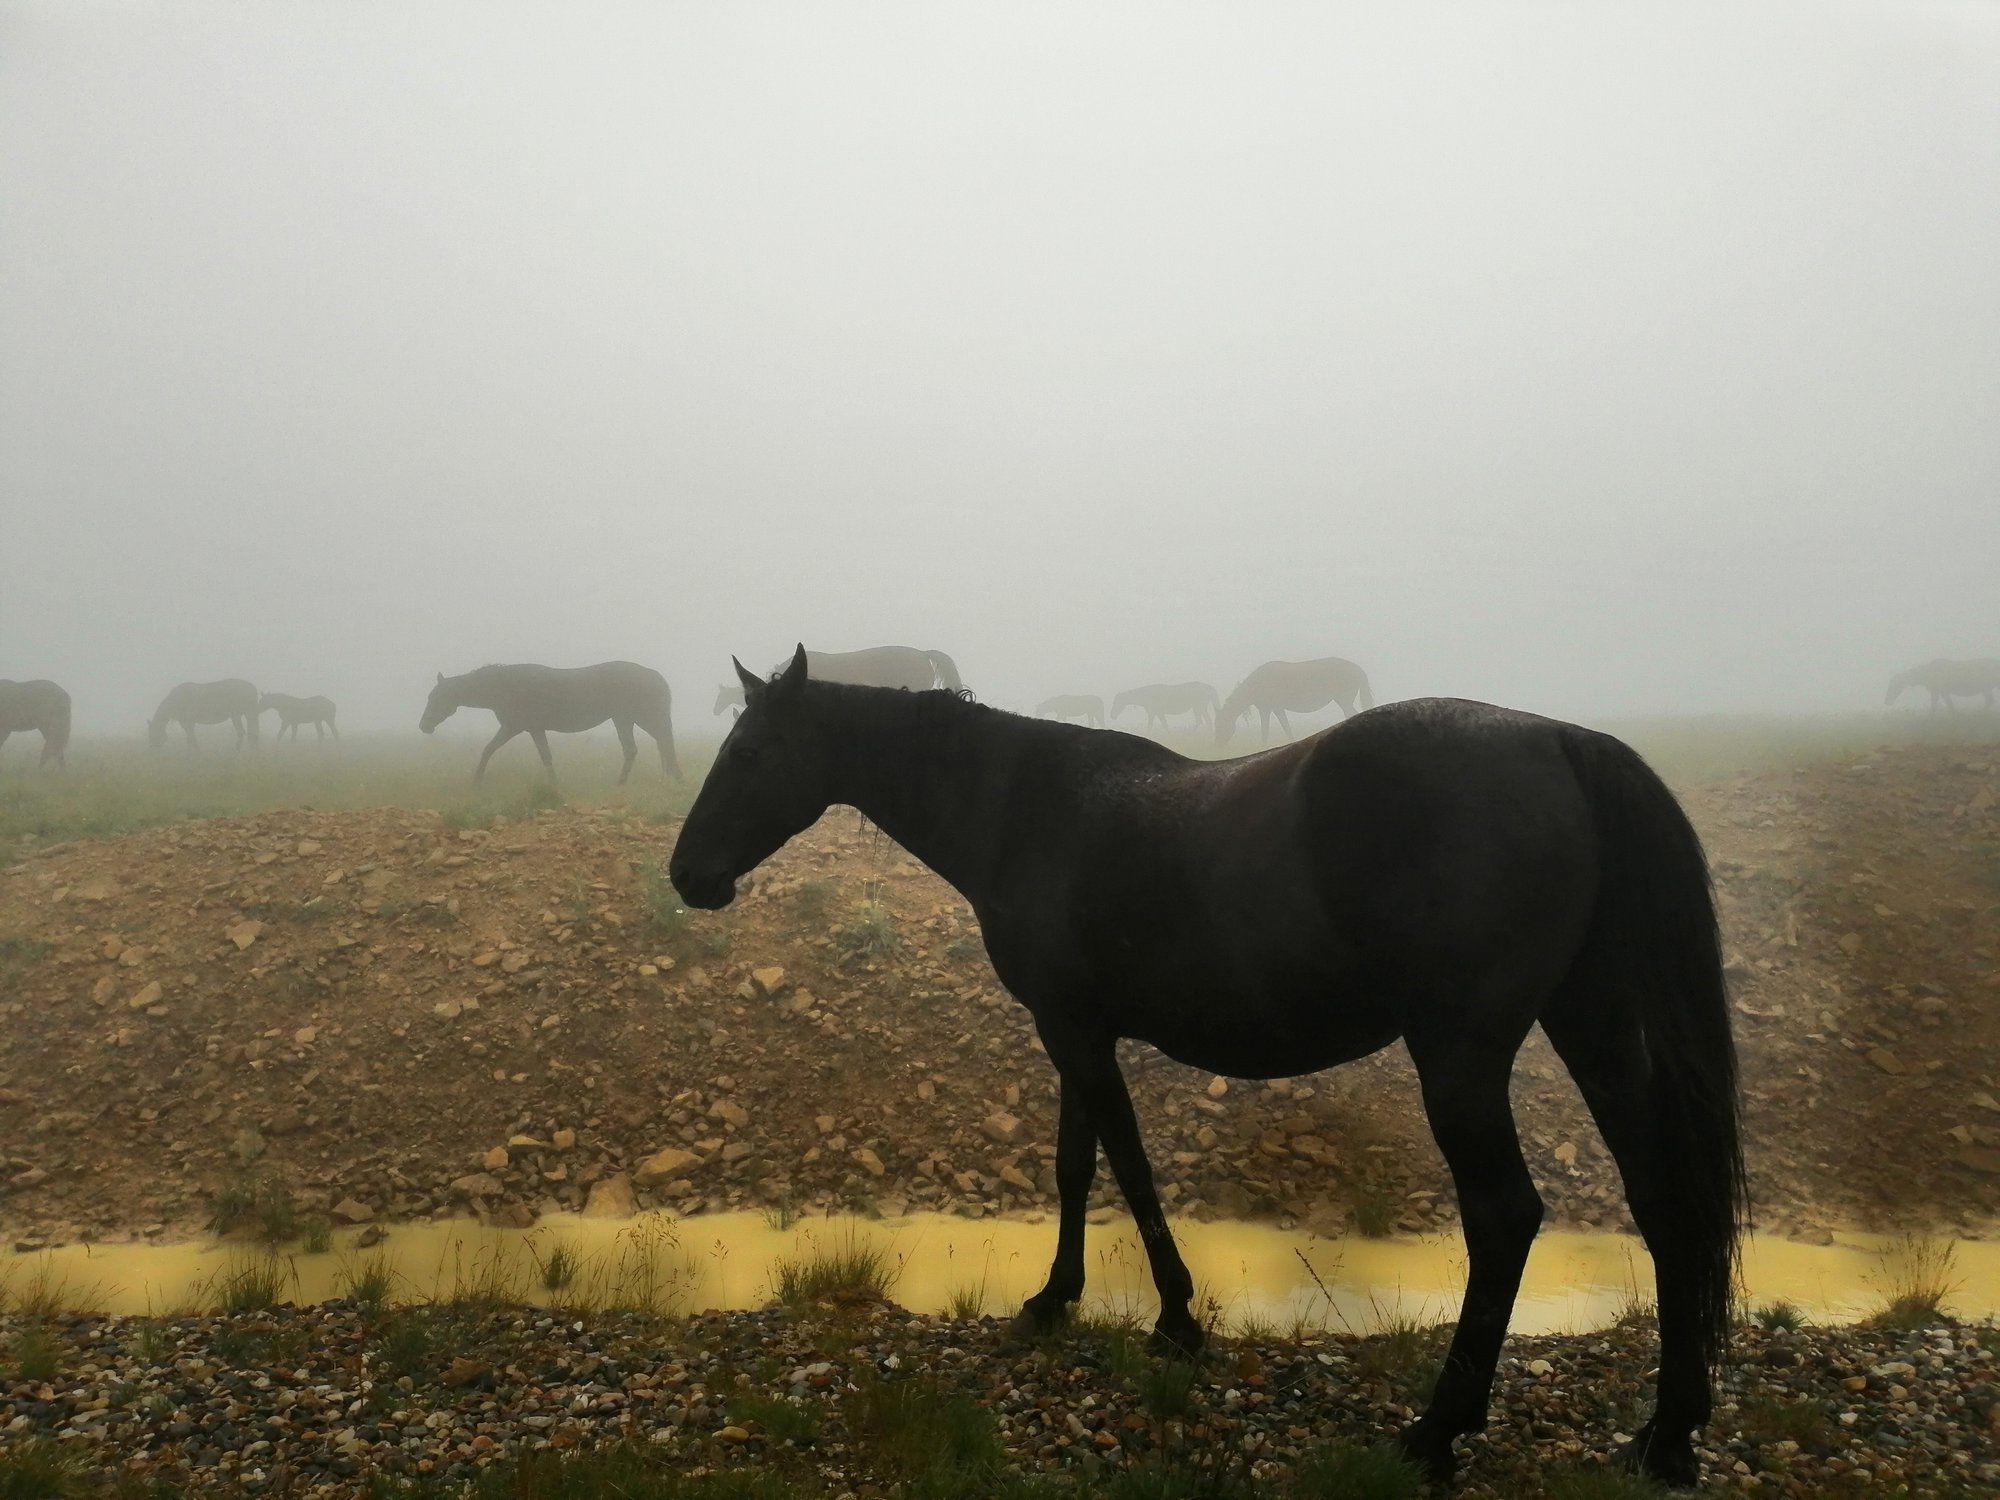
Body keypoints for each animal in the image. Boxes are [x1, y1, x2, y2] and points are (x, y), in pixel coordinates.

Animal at [418, 664, 684, 792]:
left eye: (435, 697)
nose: (423, 726)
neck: (505, 686)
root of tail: (654, 676)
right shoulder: (534, 729)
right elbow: (545, 757)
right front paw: (555, 784)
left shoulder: (513, 727)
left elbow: (488, 750)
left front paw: (476, 781)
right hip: (624, 719)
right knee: (638, 749)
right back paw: (623, 783)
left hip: (641, 718)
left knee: (665, 743)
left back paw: (677, 777)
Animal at [1216, 660, 1376, 748]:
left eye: (1221, 725)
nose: (1218, 745)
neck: (1258, 685)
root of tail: (1359, 670)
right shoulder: (1267, 710)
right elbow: (1268, 730)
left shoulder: (1276, 708)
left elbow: (1282, 728)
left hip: (1344, 701)